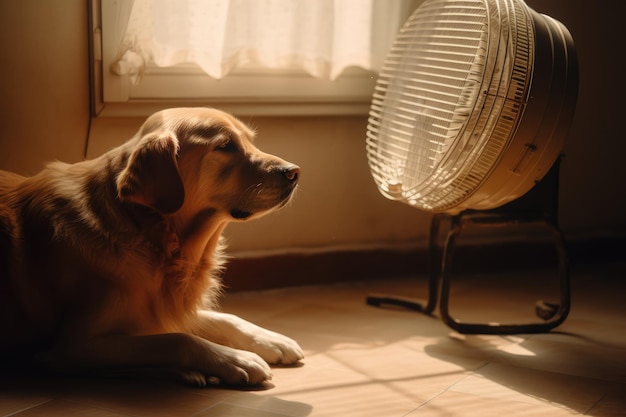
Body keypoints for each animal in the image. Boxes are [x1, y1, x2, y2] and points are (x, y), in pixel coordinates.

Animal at [0, 105, 302, 386]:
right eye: (225, 146)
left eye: (251, 140)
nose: (294, 172)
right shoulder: (73, 346)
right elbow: (177, 340)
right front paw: (236, 360)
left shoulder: (162, 305)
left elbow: (223, 318)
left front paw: (271, 339)